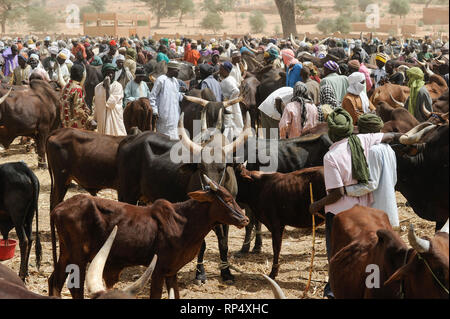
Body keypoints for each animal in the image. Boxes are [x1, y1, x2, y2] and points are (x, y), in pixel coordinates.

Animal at [49, 178, 250, 300]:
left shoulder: (171, 271)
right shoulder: (158, 270)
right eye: (227, 200)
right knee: (75, 288)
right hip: (78, 256)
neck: (184, 221)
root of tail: (59, 208)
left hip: (66, 253)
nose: (245, 219)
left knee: (55, 281)